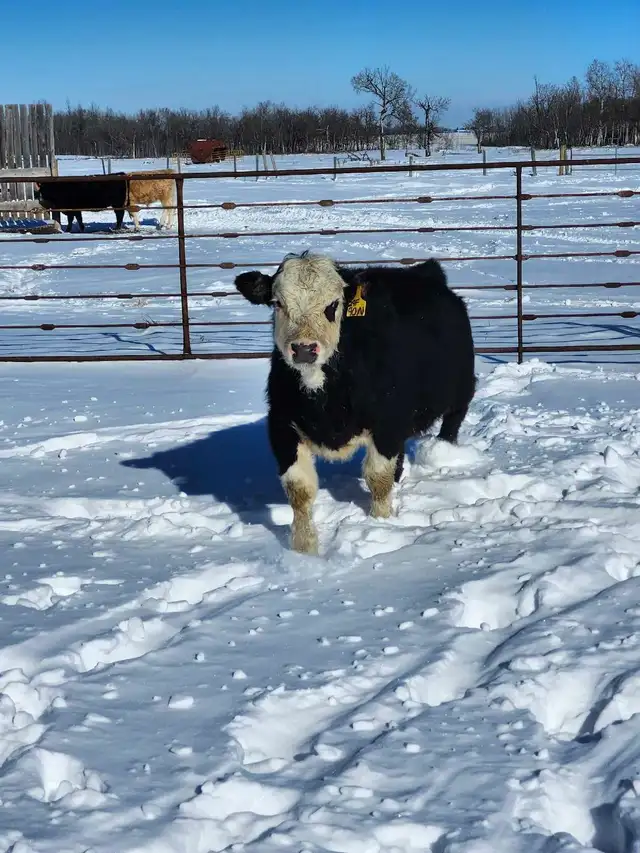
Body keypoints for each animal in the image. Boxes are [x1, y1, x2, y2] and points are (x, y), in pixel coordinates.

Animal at [234, 251, 476, 556]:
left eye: (333, 304)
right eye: (278, 303)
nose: (304, 349)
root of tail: (426, 271)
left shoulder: (387, 424)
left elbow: (378, 479)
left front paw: (381, 524)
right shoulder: (282, 426)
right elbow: (299, 490)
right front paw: (304, 550)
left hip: (461, 389)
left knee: (452, 421)